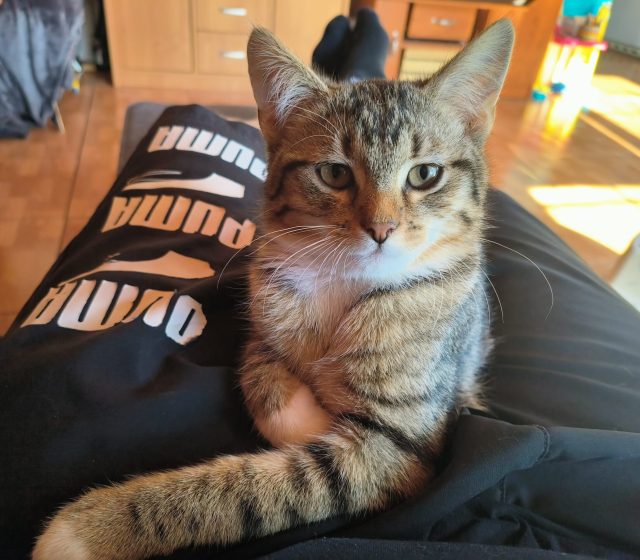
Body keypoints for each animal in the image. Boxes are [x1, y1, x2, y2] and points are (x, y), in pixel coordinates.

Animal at [33, 19, 514, 560]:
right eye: (334, 173)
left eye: (425, 175)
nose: (382, 228)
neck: (344, 279)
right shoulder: (262, 320)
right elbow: (261, 380)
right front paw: (309, 416)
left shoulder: (400, 445)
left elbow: (255, 491)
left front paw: (87, 529)